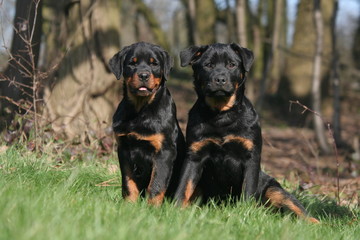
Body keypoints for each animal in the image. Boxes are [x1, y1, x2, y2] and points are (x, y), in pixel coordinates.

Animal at [108, 42, 184, 205]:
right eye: (132, 63)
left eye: (154, 63)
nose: (143, 75)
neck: (141, 108)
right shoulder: (123, 149)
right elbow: (128, 182)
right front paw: (129, 204)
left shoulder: (164, 151)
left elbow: (157, 183)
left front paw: (152, 207)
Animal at [174, 43, 318, 223]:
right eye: (208, 65)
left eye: (231, 65)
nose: (220, 79)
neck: (222, 114)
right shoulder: (195, 155)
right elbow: (184, 184)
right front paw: (175, 208)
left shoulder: (250, 157)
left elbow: (248, 189)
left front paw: (244, 212)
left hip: (274, 189)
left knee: (296, 207)